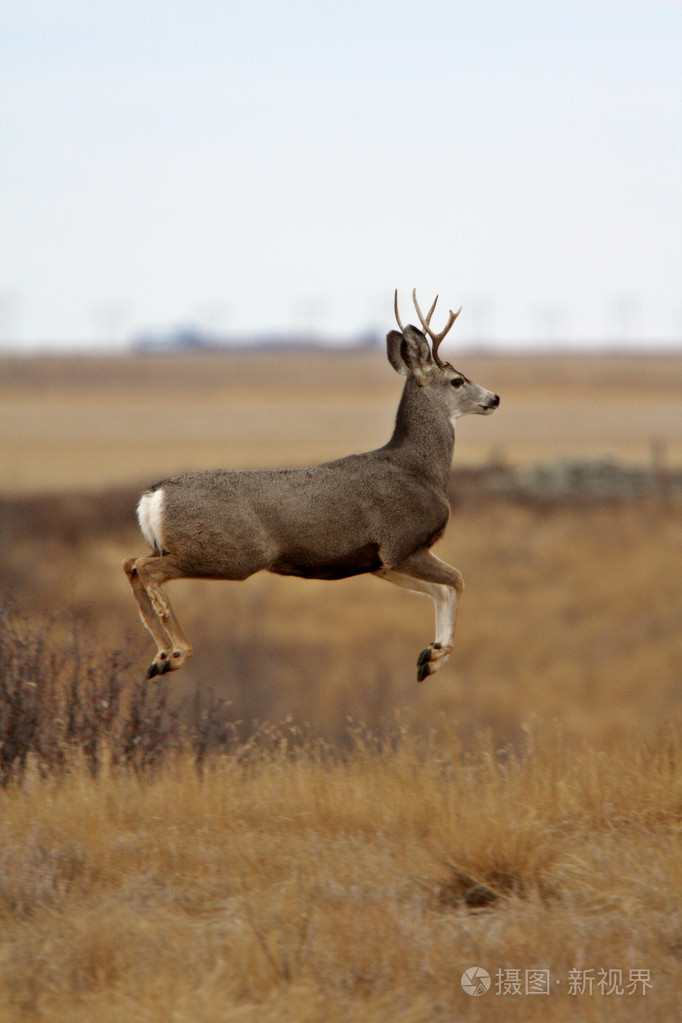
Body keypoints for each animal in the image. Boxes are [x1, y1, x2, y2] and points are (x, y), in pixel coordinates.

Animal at [123, 290, 500, 683]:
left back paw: (161, 656)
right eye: (457, 380)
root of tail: (153, 496)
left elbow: (440, 592)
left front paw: (429, 655)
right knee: (145, 569)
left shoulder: (380, 562)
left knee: (131, 565)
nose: (494, 398)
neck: (421, 470)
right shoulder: (401, 543)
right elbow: (457, 580)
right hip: (229, 552)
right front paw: (435, 654)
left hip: (175, 547)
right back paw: (178, 651)